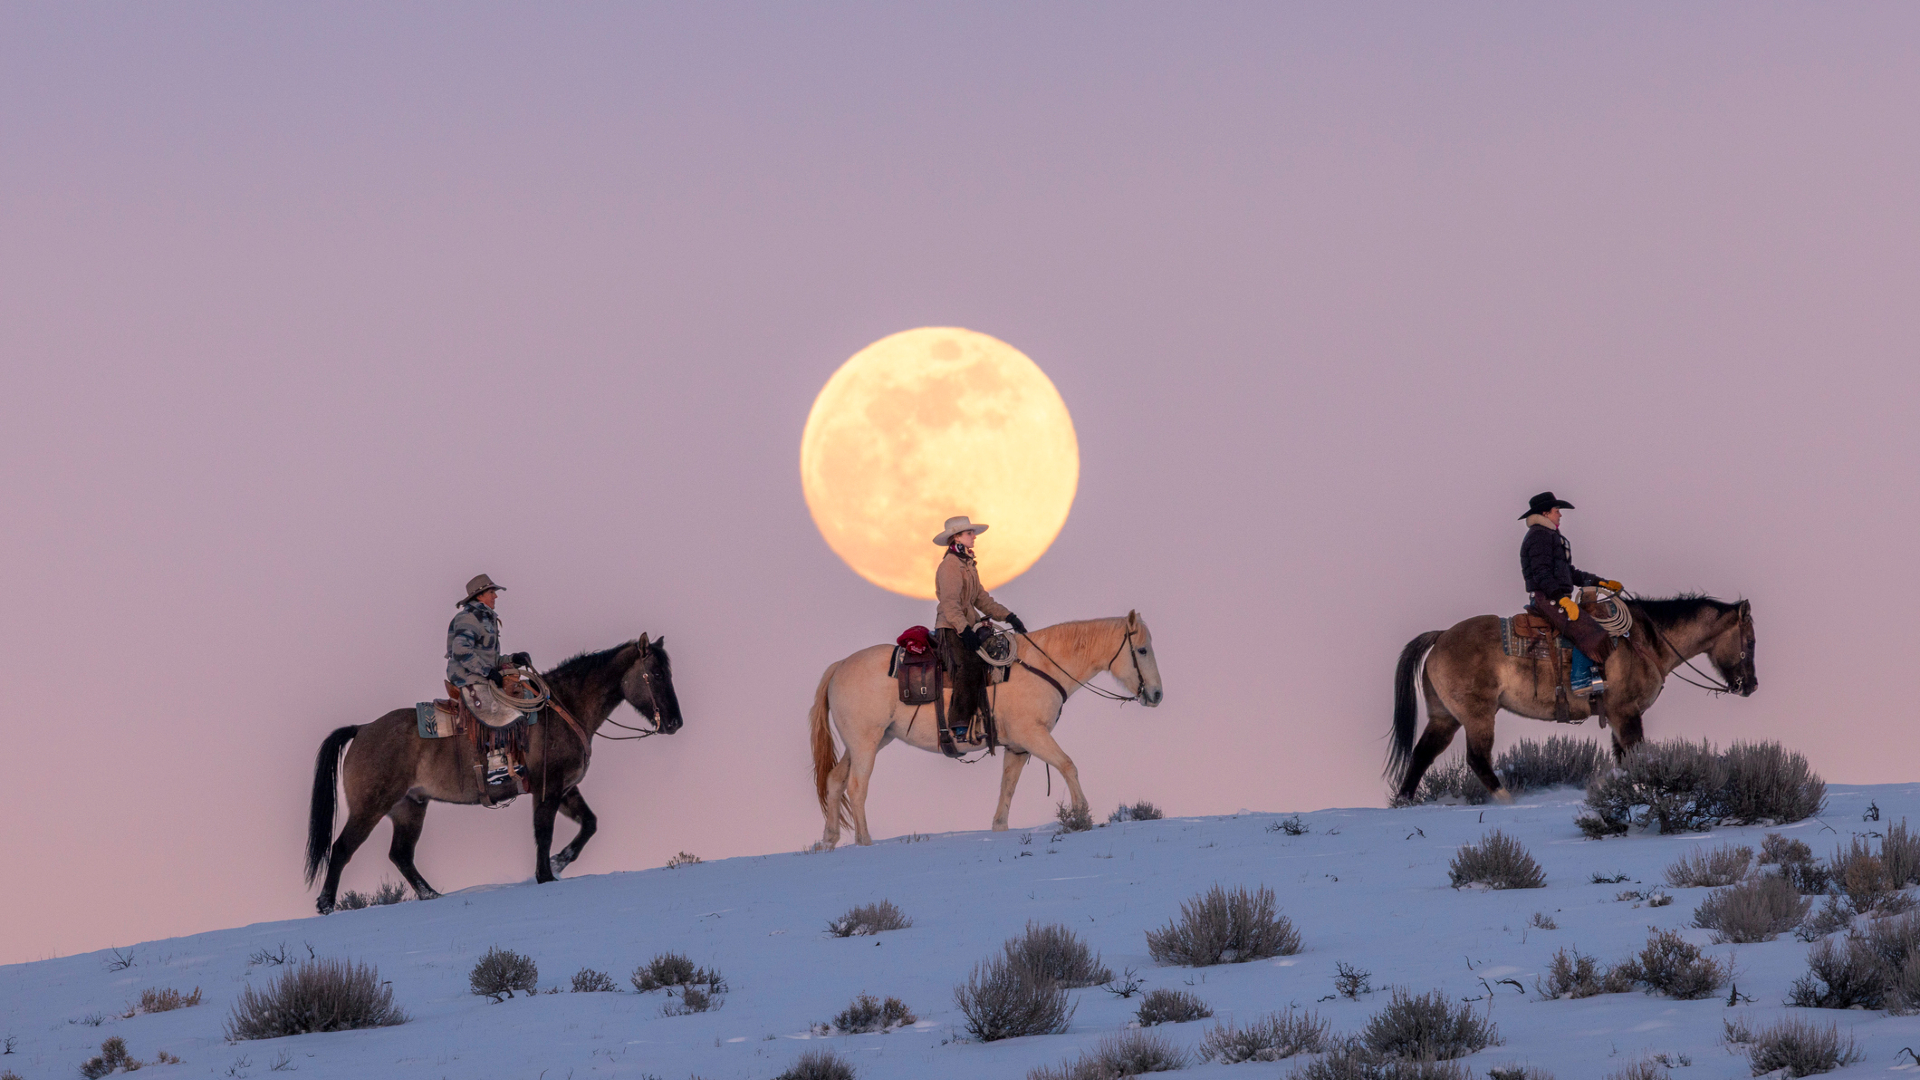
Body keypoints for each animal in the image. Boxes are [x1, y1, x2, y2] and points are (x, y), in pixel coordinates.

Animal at [304, 635, 683, 914]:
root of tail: (362, 729)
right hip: (370, 807)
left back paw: (432, 896)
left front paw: (559, 863)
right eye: (657, 674)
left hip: (410, 807)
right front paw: (546, 874)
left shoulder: (565, 789)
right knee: (342, 849)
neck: (564, 708)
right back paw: (325, 905)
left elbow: (589, 823)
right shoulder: (548, 788)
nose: (675, 723)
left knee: (401, 855)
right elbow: (543, 833)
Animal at [808, 613, 1163, 850]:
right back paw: (865, 841)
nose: (1157, 694)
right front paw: (1080, 815)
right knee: (857, 787)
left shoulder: (1018, 746)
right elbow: (1067, 765)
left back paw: (829, 840)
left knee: (835, 781)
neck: (1040, 667)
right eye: (1142, 650)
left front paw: (999, 827)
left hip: (869, 741)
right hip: (866, 743)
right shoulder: (1033, 735)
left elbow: (1008, 787)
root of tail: (839, 667)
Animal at [1386, 594, 1757, 804]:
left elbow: (1624, 760)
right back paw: (1507, 800)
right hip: (1478, 716)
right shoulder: (1626, 713)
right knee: (1477, 759)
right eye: (1750, 641)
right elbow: (1637, 756)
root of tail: (1441, 636)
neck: (1643, 641)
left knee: (1422, 754)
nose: (1750, 685)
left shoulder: (1619, 717)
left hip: (1444, 717)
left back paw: (1405, 801)